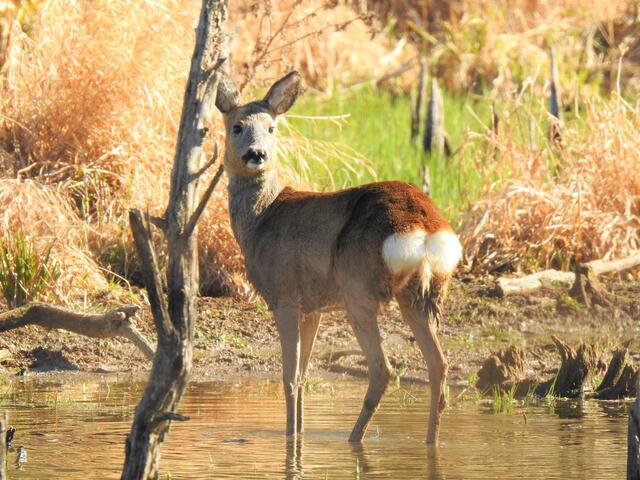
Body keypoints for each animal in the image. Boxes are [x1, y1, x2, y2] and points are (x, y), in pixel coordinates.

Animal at [214, 71, 462, 445]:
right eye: (237, 126)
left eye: (271, 127)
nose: (256, 154)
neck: (261, 218)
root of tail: (426, 227)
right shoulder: (313, 306)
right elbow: (303, 376)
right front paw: (299, 435)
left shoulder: (285, 296)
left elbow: (289, 378)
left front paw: (291, 438)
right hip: (423, 294)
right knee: (439, 365)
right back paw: (430, 441)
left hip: (359, 290)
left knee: (383, 369)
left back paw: (355, 438)